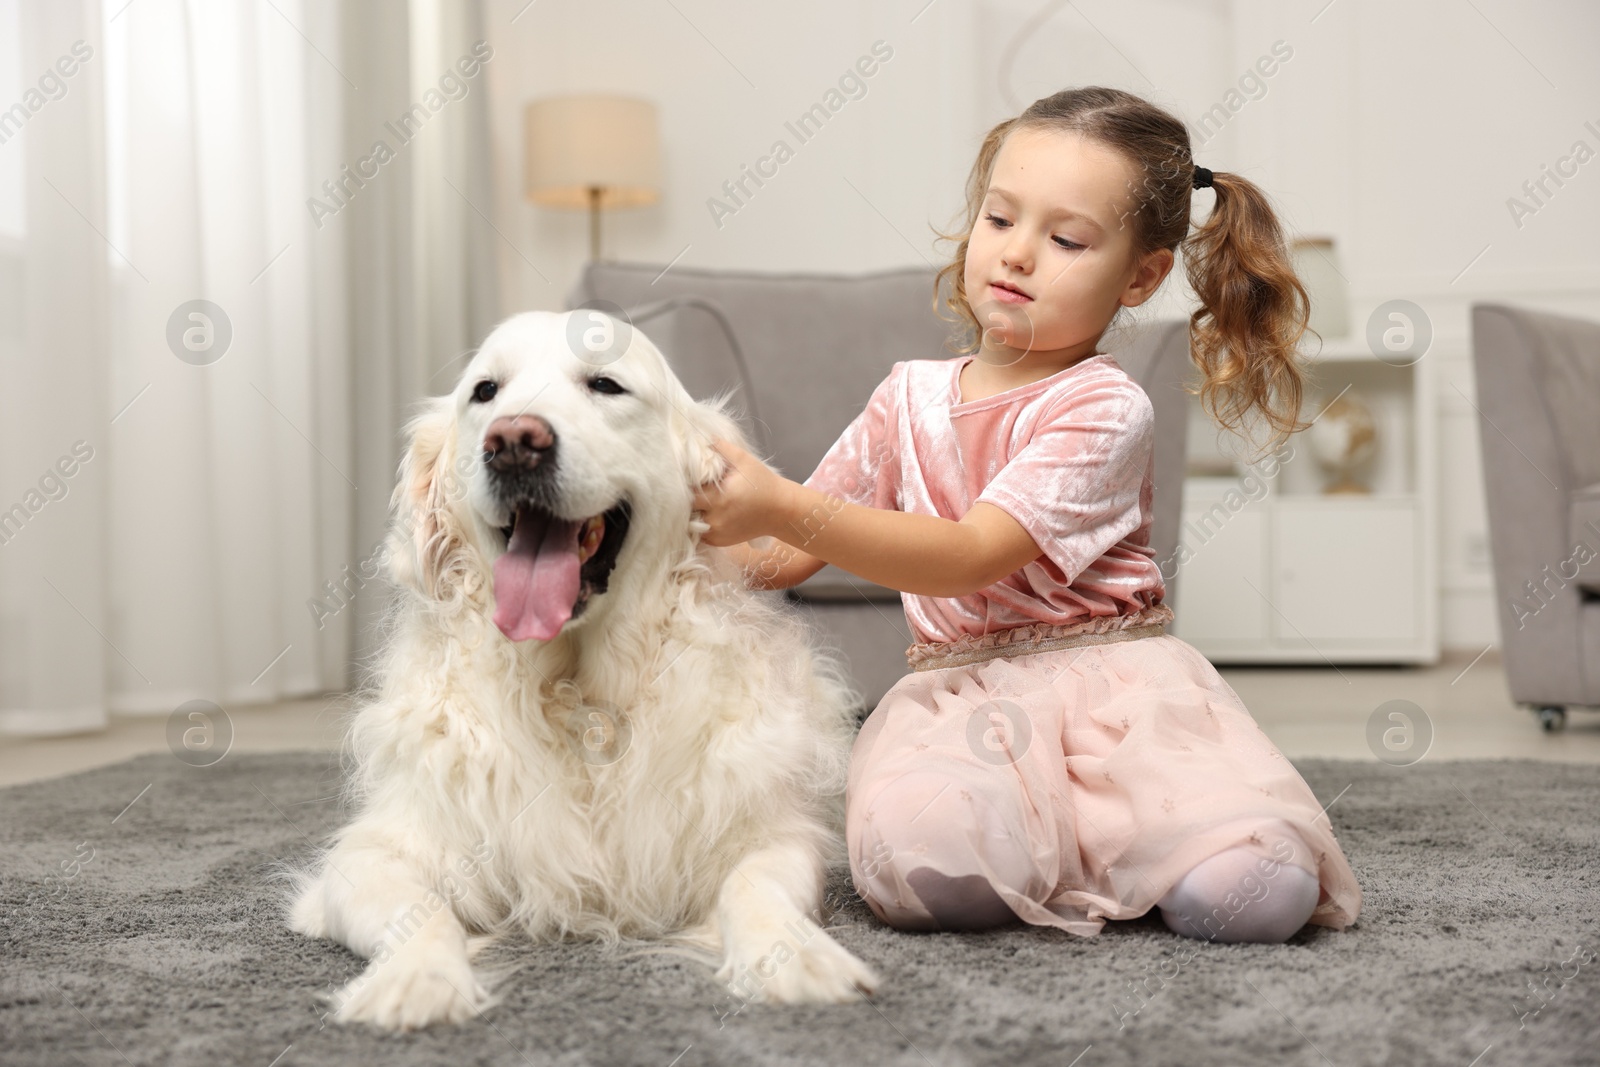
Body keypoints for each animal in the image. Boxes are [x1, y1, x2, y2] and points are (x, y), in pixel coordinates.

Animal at [289, 310, 889, 1036]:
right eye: (485, 391)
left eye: (605, 384)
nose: (513, 443)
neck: (579, 696)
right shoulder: (373, 853)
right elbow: (416, 913)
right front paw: (417, 980)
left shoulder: (769, 836)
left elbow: (755, 884)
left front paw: (796, 959)